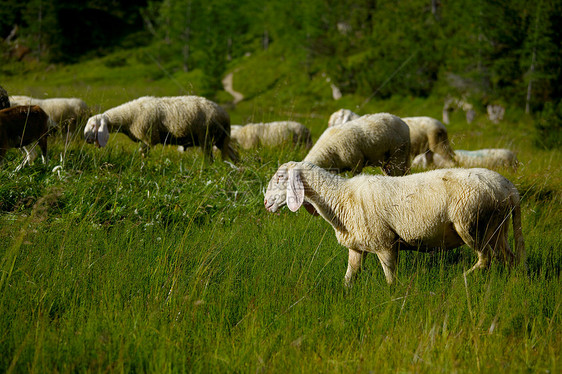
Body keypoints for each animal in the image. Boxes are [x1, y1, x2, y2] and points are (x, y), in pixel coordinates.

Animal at [84, 95, 237, 161]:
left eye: (93, 126)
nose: (86, 139)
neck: (128, 117)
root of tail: (225, 115)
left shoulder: (149, 138)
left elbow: (143, 154)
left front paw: (143, 165)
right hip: (221, 139)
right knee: (234, 155)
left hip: (206, 137)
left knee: (210, 159)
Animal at [262, 161, 524, 286]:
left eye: (280, 178)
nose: (265, 203)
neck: (340, 198)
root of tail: (509, 188)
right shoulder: (356, 247)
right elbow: (350, 276)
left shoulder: (385, 244)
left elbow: (390, 279)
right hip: (497, 227)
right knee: (508, 257)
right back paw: (512, 282)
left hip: (471, 223)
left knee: (485, 258)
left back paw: (460, 280)